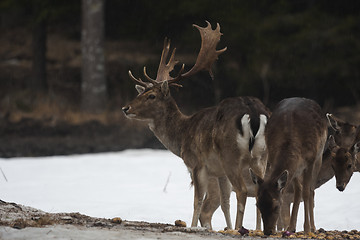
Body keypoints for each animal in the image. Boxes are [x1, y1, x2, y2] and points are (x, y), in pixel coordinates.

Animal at [121, 21, 270, 230]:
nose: (125, 108)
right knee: (258, 189)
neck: (183, 134)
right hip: (260, 157)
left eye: (151, 96)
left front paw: (192, 226)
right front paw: (226, 227)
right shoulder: (219, 173)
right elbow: (225, 203)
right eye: (140, 93)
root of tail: (254, 112)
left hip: (231, 155)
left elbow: (197, 201)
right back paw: (254, 230)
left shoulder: (197, 164)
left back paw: (239, 229)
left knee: (241, 190)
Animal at [249, 97, 328, 234]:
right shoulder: (274, 157)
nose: (268, 231)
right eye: (258, 205)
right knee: (298, 190)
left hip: (319, 157)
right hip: (296, 169)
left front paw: (307, 228)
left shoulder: (310, 160)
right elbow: (296, 191)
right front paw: (290, 227)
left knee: (311, 190)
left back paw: (313, 227)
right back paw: (291, 227)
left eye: (276, 206)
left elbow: (307, 193)